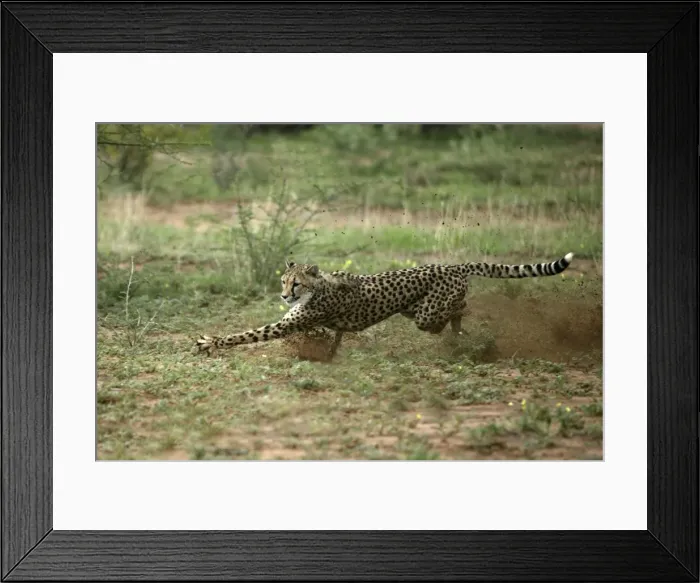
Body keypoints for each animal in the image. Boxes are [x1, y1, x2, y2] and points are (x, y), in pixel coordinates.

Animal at [193, 252, 574, 358]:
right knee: (456, 312)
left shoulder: (289, 322)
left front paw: (211, 342)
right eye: (283, 281)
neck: (316, 290)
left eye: (295, 283)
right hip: (413, 309)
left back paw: (464, 326)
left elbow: (247, 334)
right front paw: (329, 349)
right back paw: (460, 333)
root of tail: (453, 264)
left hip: (426, 314)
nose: (285, 296)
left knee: (460, 307)